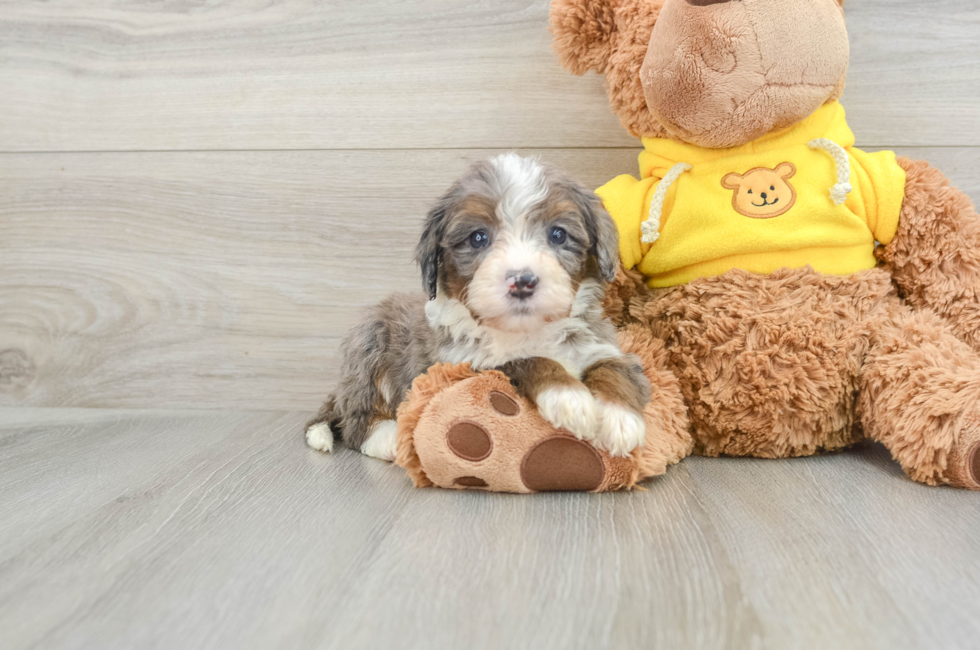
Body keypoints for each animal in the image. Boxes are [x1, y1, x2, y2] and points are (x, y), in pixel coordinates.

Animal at [304, 153, 652, 458]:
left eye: (558, 234)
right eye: (478, 238)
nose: (522, 281)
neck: (527, 329)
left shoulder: (600, 344)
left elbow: (615, 369)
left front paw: (620, 419)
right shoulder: (464, 365)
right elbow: (526, 360)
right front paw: (569, 397)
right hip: (368, 345)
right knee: (356, 421)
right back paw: (389, 438)